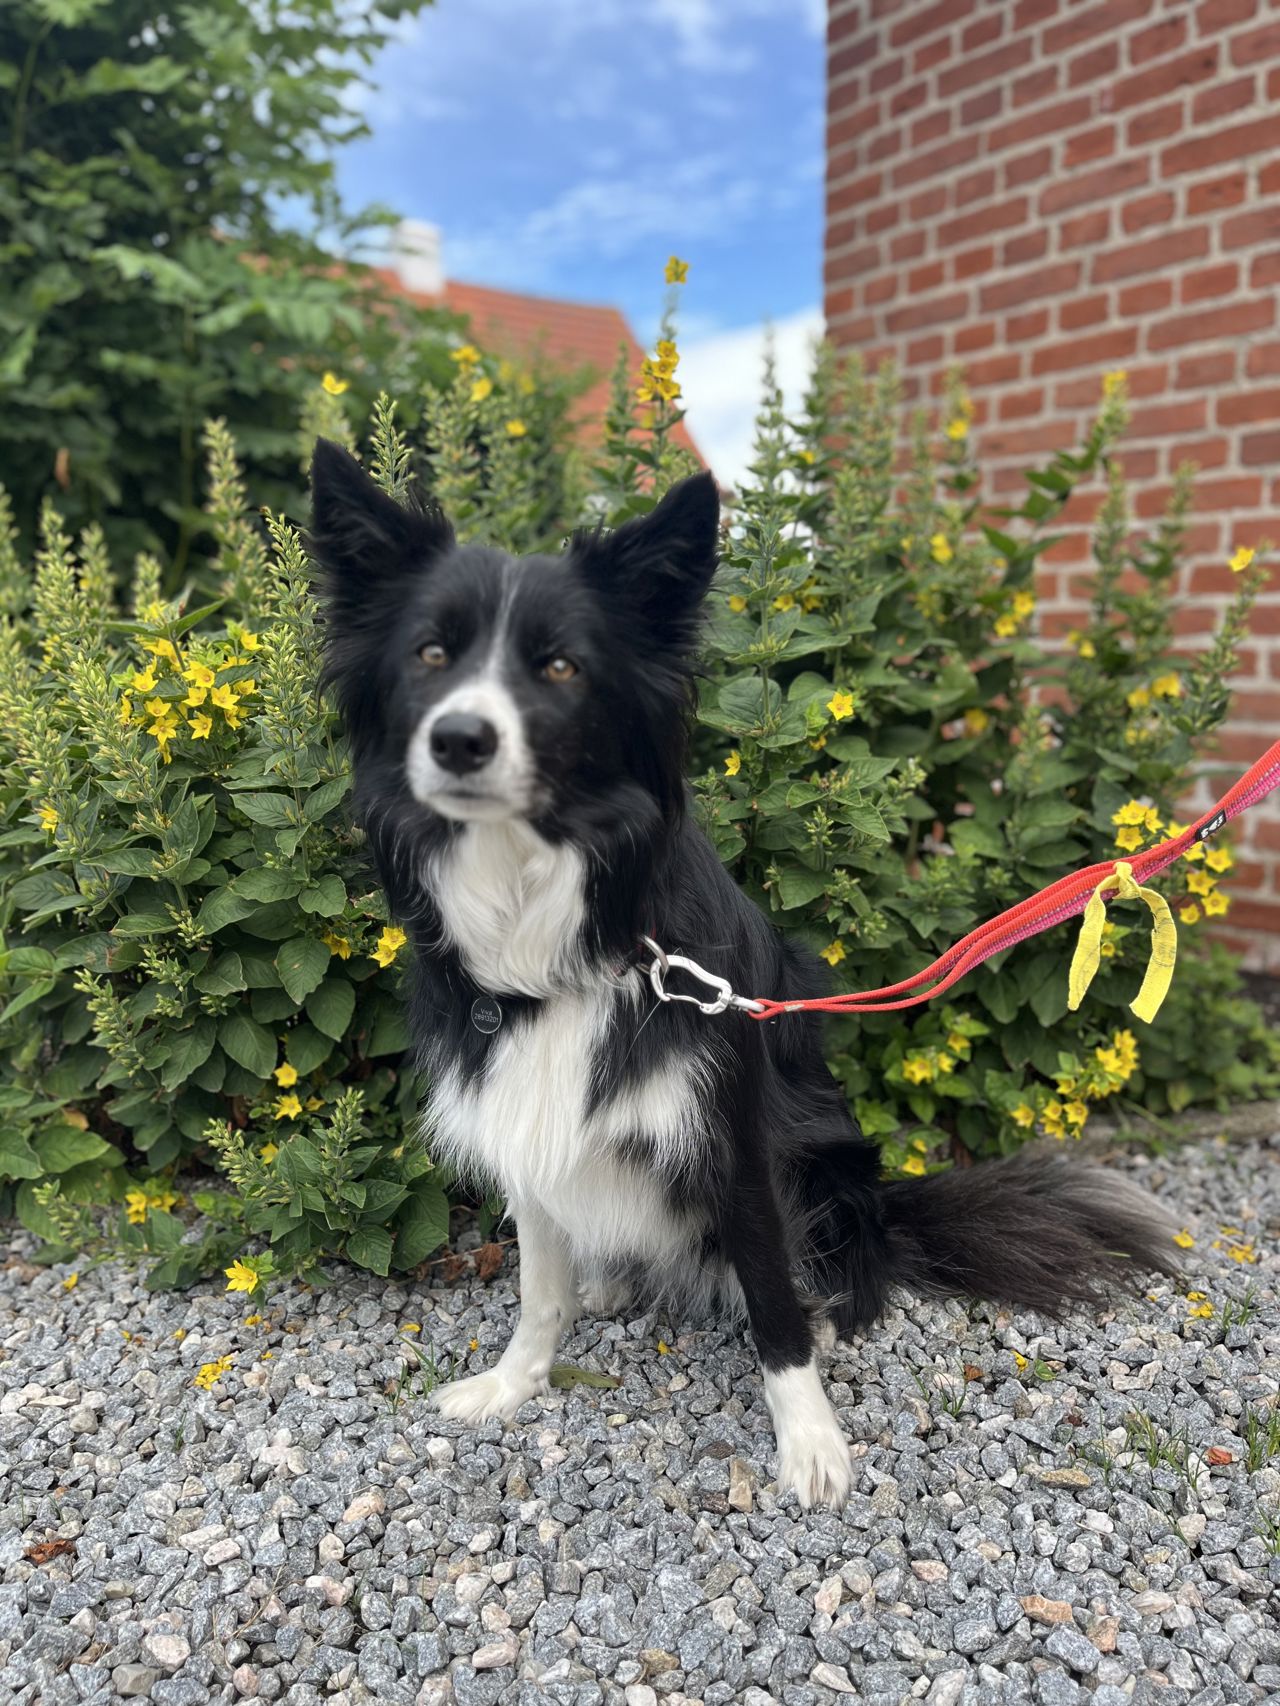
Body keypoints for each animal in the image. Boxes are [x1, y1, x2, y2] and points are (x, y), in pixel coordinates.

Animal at [309, 439, 1176, 1508]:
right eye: (431, 654)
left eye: (561, 666)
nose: (459, 740)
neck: (575, 926)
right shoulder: (525, 1121)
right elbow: (540, 1288)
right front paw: (514, 1384)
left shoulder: (736, 1137)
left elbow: (771, 1299)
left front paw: (811, 1443)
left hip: (831, 1166)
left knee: (837, 1268)